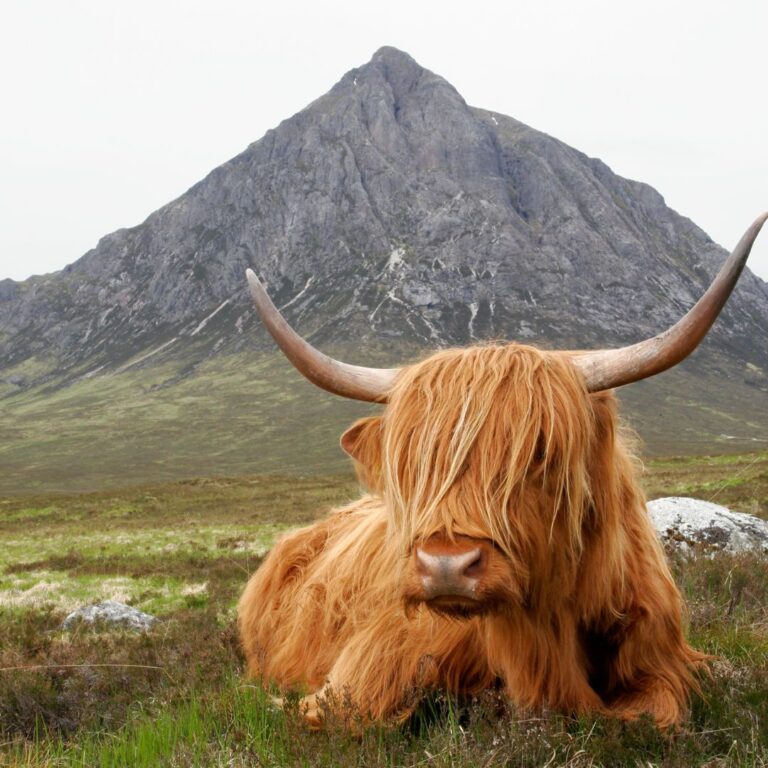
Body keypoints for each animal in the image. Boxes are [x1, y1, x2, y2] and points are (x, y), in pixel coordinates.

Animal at [237, 213, 764, 728]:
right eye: (413, 463)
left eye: (540, 451)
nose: (445, 567)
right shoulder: (370, 664)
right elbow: (348, 712)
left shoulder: (664, 662)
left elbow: (652, 716)